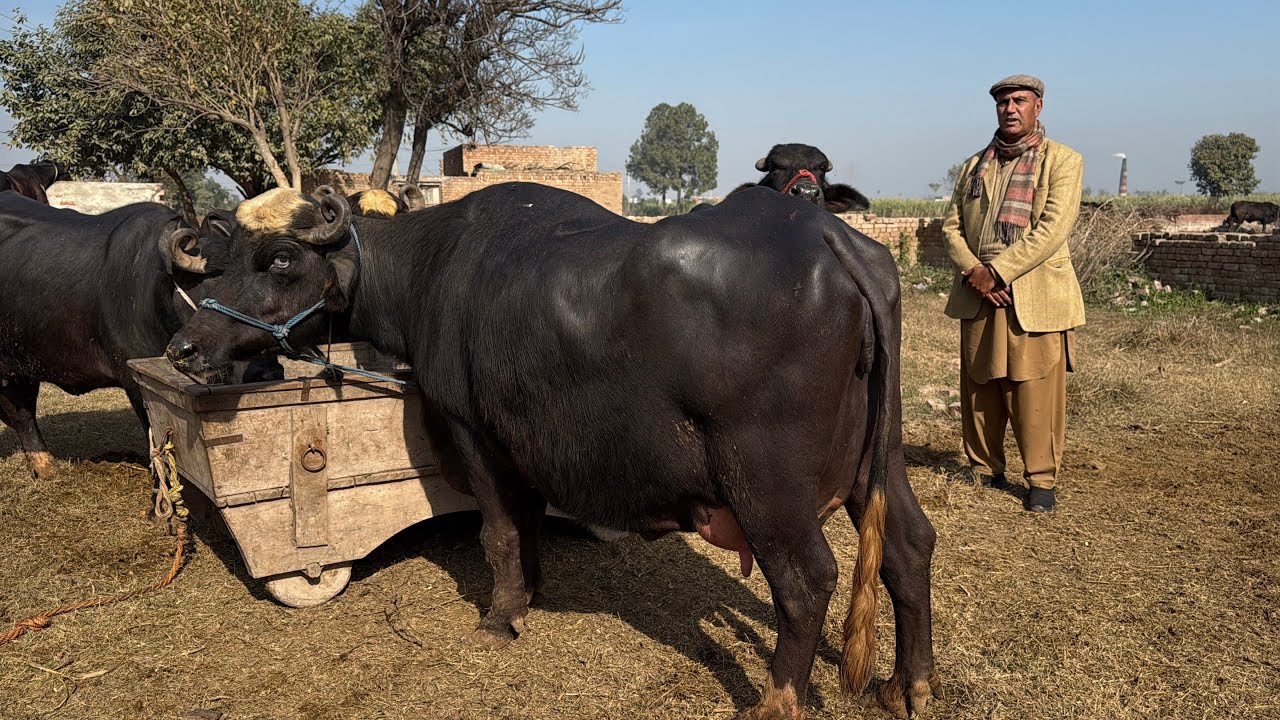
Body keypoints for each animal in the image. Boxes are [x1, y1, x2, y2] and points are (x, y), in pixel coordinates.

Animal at [167, 183, 938, 718]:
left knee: (806, 580)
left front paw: (500, 616)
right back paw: (913, 683)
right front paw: (530, 594)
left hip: (765, 481)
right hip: (880, 462)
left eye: (280, 260)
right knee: (908, 545)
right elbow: (528, 524)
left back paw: (778, 701)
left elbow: (500, 531)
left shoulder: (473, 432)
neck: (431, 266)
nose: (186, 348)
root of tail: (830, 238)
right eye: (221, 261)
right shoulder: (528, 440)